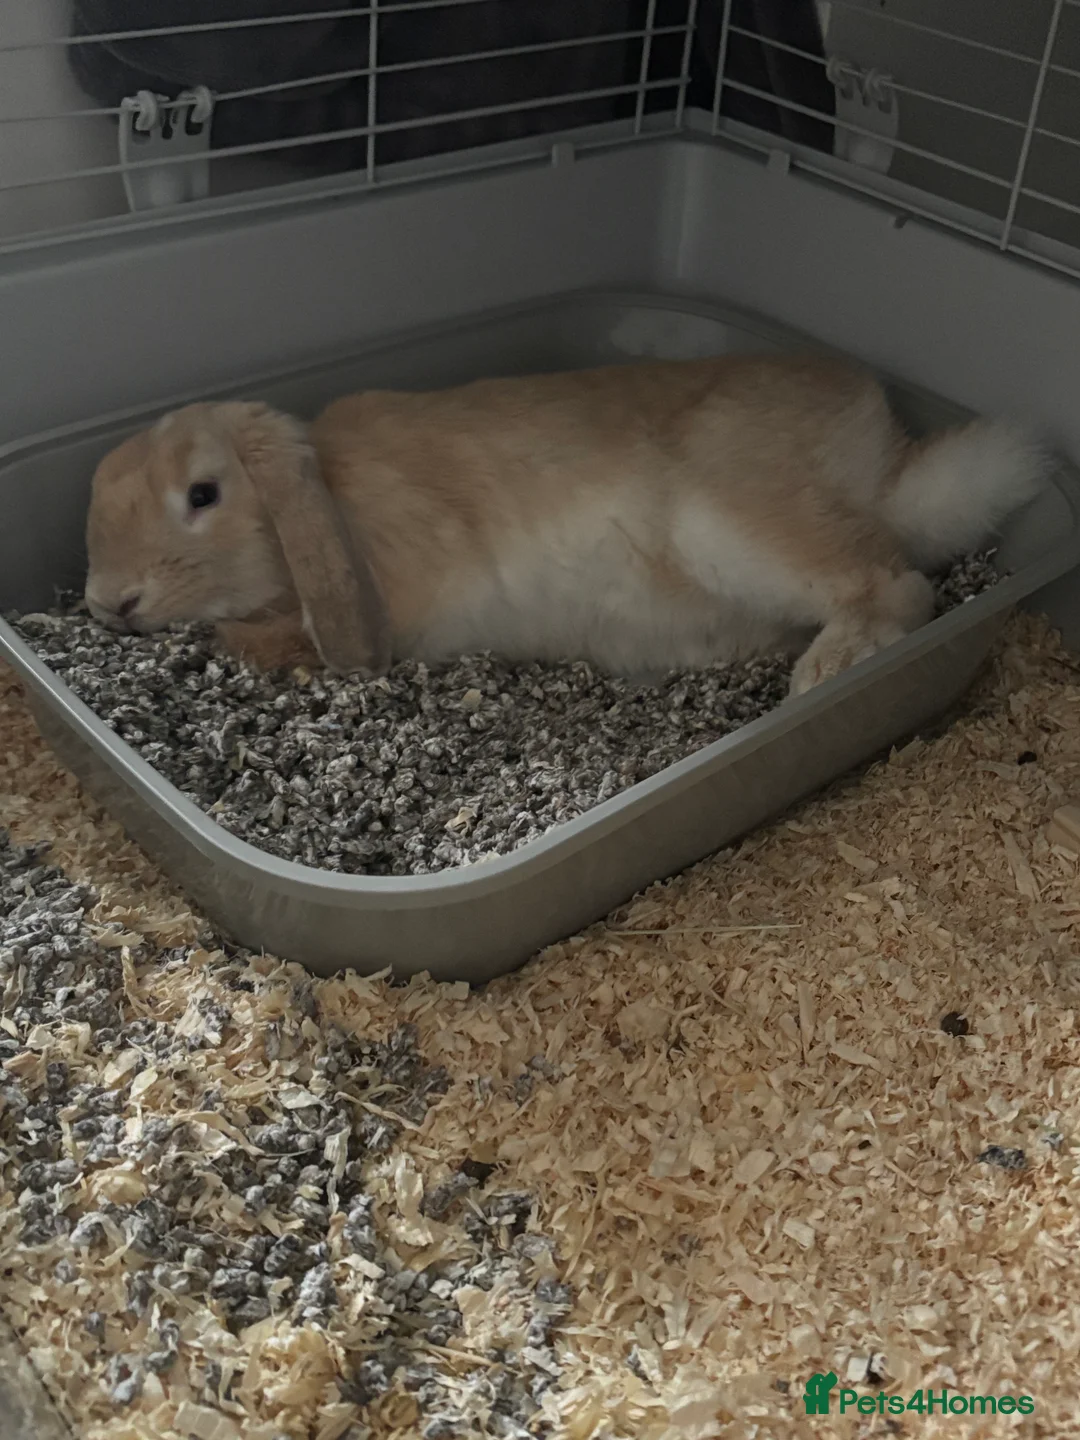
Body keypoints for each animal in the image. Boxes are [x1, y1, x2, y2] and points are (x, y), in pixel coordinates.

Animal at [83, 351, 1050, 696]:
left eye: (202, 495)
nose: (107, 603)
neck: (334, 493)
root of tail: (885, 462)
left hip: (730, 521)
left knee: (897, 583)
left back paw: (825, 674)